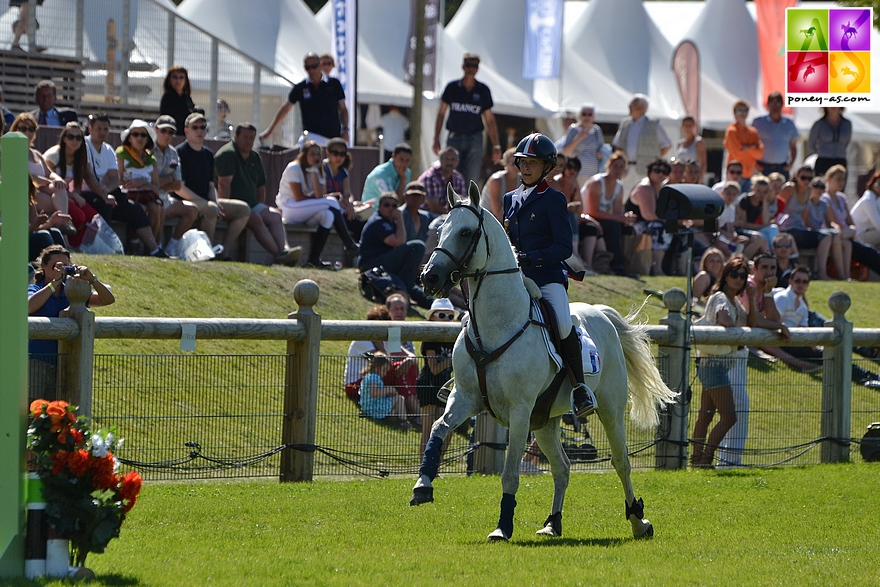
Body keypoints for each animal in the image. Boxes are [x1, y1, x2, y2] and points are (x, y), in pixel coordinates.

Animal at [410, 183, 676, 544]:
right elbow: (438, 429)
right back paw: (553, 522)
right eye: (439, 231)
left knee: (621, 462)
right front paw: (422, 486)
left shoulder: (519, 410)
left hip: (608, 407)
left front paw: (502, 527)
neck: (497, 324)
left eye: (465, 232)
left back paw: (638, 521)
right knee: (562, 467)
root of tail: (601, 313)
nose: (430, 278)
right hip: (547, 421)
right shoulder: (464, 398)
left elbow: (509, 473)